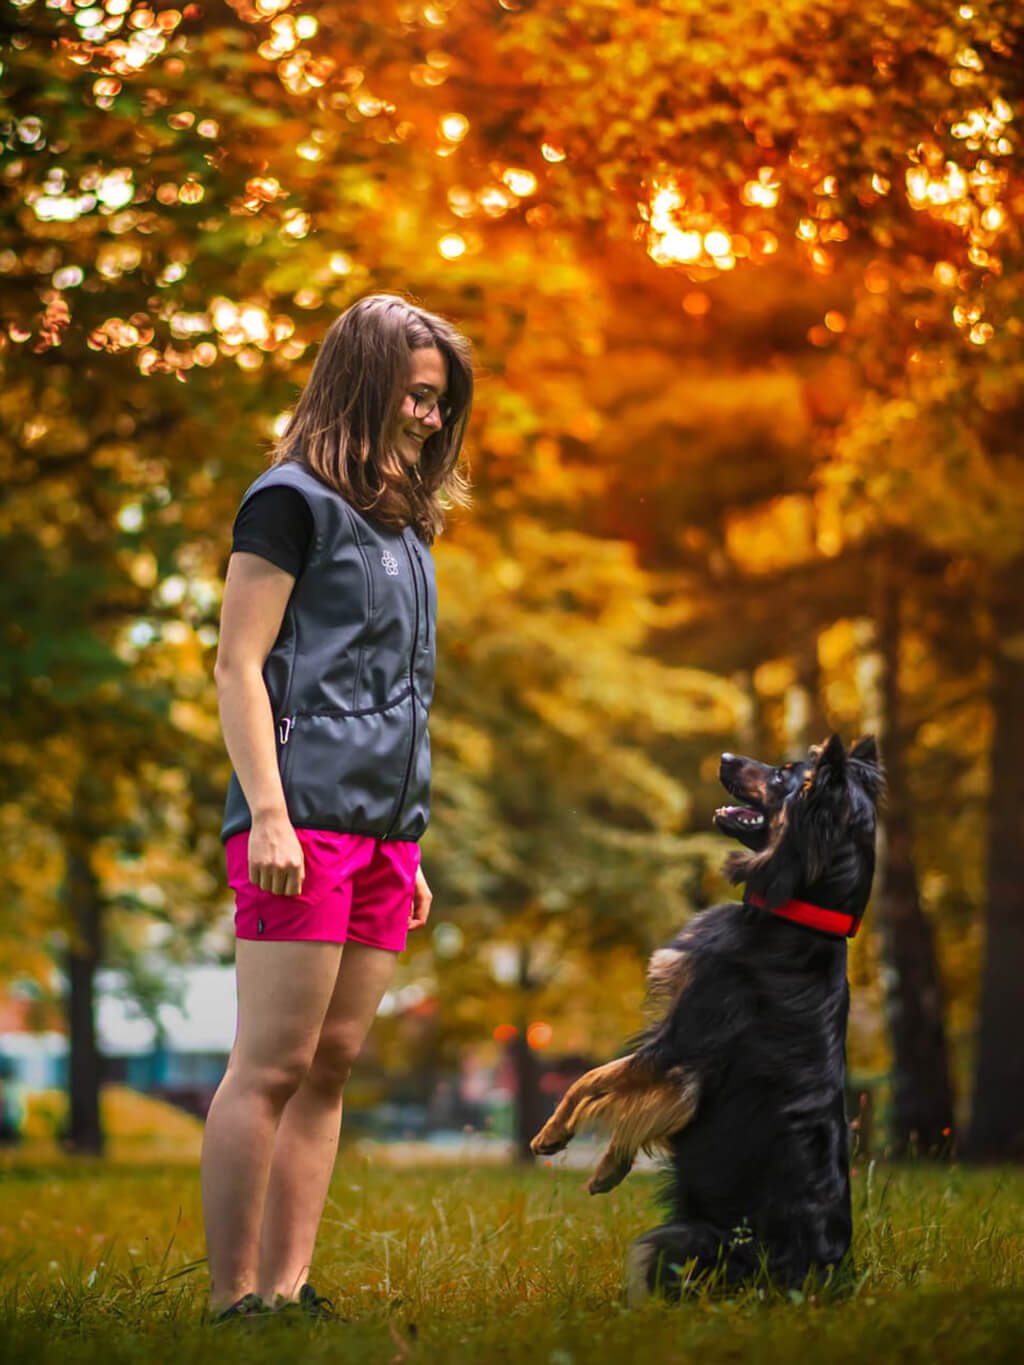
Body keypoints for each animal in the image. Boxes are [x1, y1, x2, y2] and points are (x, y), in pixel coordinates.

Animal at [532, 737, 884, 1299]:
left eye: (783, 775)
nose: (723, 757)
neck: (799, 918)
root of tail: (816, 1277)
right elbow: (623, 1096)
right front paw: (610, 1168)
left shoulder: (681, 1047)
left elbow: (592, 1078)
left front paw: (553, 1134)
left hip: (679, 1240)